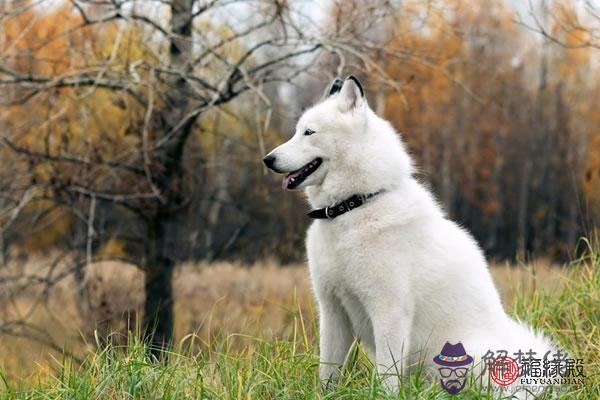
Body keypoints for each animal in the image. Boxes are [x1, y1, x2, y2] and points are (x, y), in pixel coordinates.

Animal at [264, 76, 556, 396]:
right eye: (296, 131)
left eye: (309, 132)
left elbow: (387, 374)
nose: (268, 159)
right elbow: (328, 371)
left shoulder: (389, 311)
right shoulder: (332, 311)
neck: (355, 206)